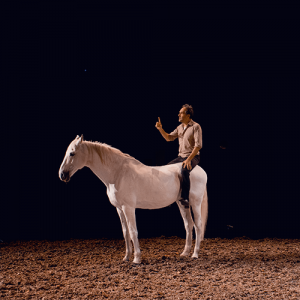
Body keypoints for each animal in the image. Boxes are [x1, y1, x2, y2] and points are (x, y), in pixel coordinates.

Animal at [58, 135, 209, 264]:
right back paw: (185, 253)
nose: (62, 175)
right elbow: (125, 233)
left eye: (72, 153)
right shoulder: (119, 208)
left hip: (195, 203)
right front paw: (126, 257)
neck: (118, 174)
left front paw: (136, 258)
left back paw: (195, 254)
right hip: (182, 203)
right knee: (188, 225)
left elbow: (132, 231)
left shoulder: (128, 208)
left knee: (198, 225)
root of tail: (199, 170)